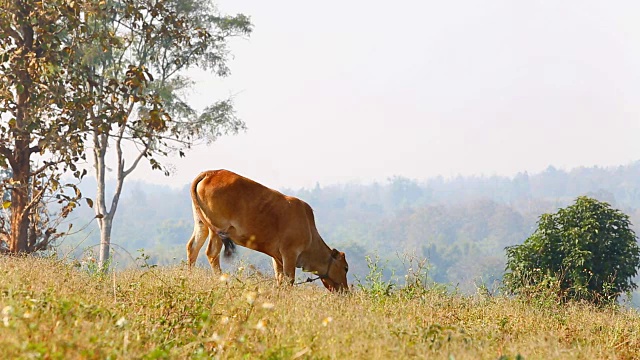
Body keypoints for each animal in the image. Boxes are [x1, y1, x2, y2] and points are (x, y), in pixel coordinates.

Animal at [185, 169, 350, 292]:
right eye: (346, 268)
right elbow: (289, 280)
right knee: (212, 253)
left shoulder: (277, 257)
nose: (345, 290)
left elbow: (279, 278)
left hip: (201, 224)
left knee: (193, 247)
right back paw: (223, 282)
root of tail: (211, 173)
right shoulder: (289, 253)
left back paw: (190, 276)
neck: (310, 232)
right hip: (218, 229)